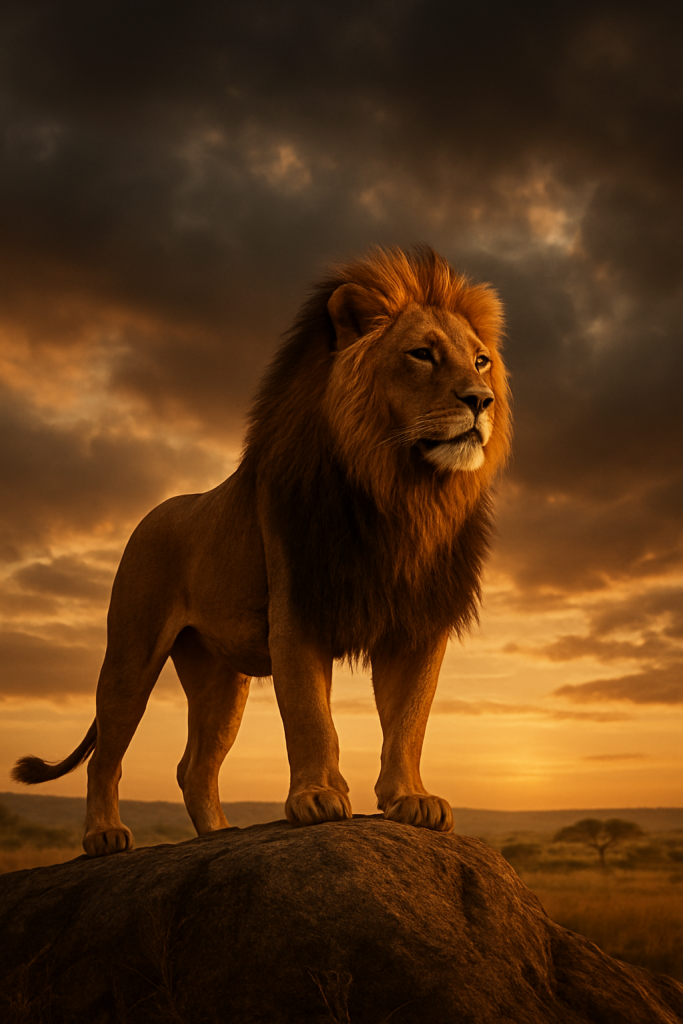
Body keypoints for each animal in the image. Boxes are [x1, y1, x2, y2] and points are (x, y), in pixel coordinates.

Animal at [13, 245, 511, 857]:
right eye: (422, 354)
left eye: (481, 361)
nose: (481, 401)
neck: (403, 492)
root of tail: (152, 514)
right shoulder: (296, 609)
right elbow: (310, 715)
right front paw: (317, 799)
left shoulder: (417, 624)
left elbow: (408, 721)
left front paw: (410, 799)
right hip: (131, 653)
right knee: (106, 755)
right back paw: (104, 834)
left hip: (221, 678)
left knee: (194, 767)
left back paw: (221, 836)